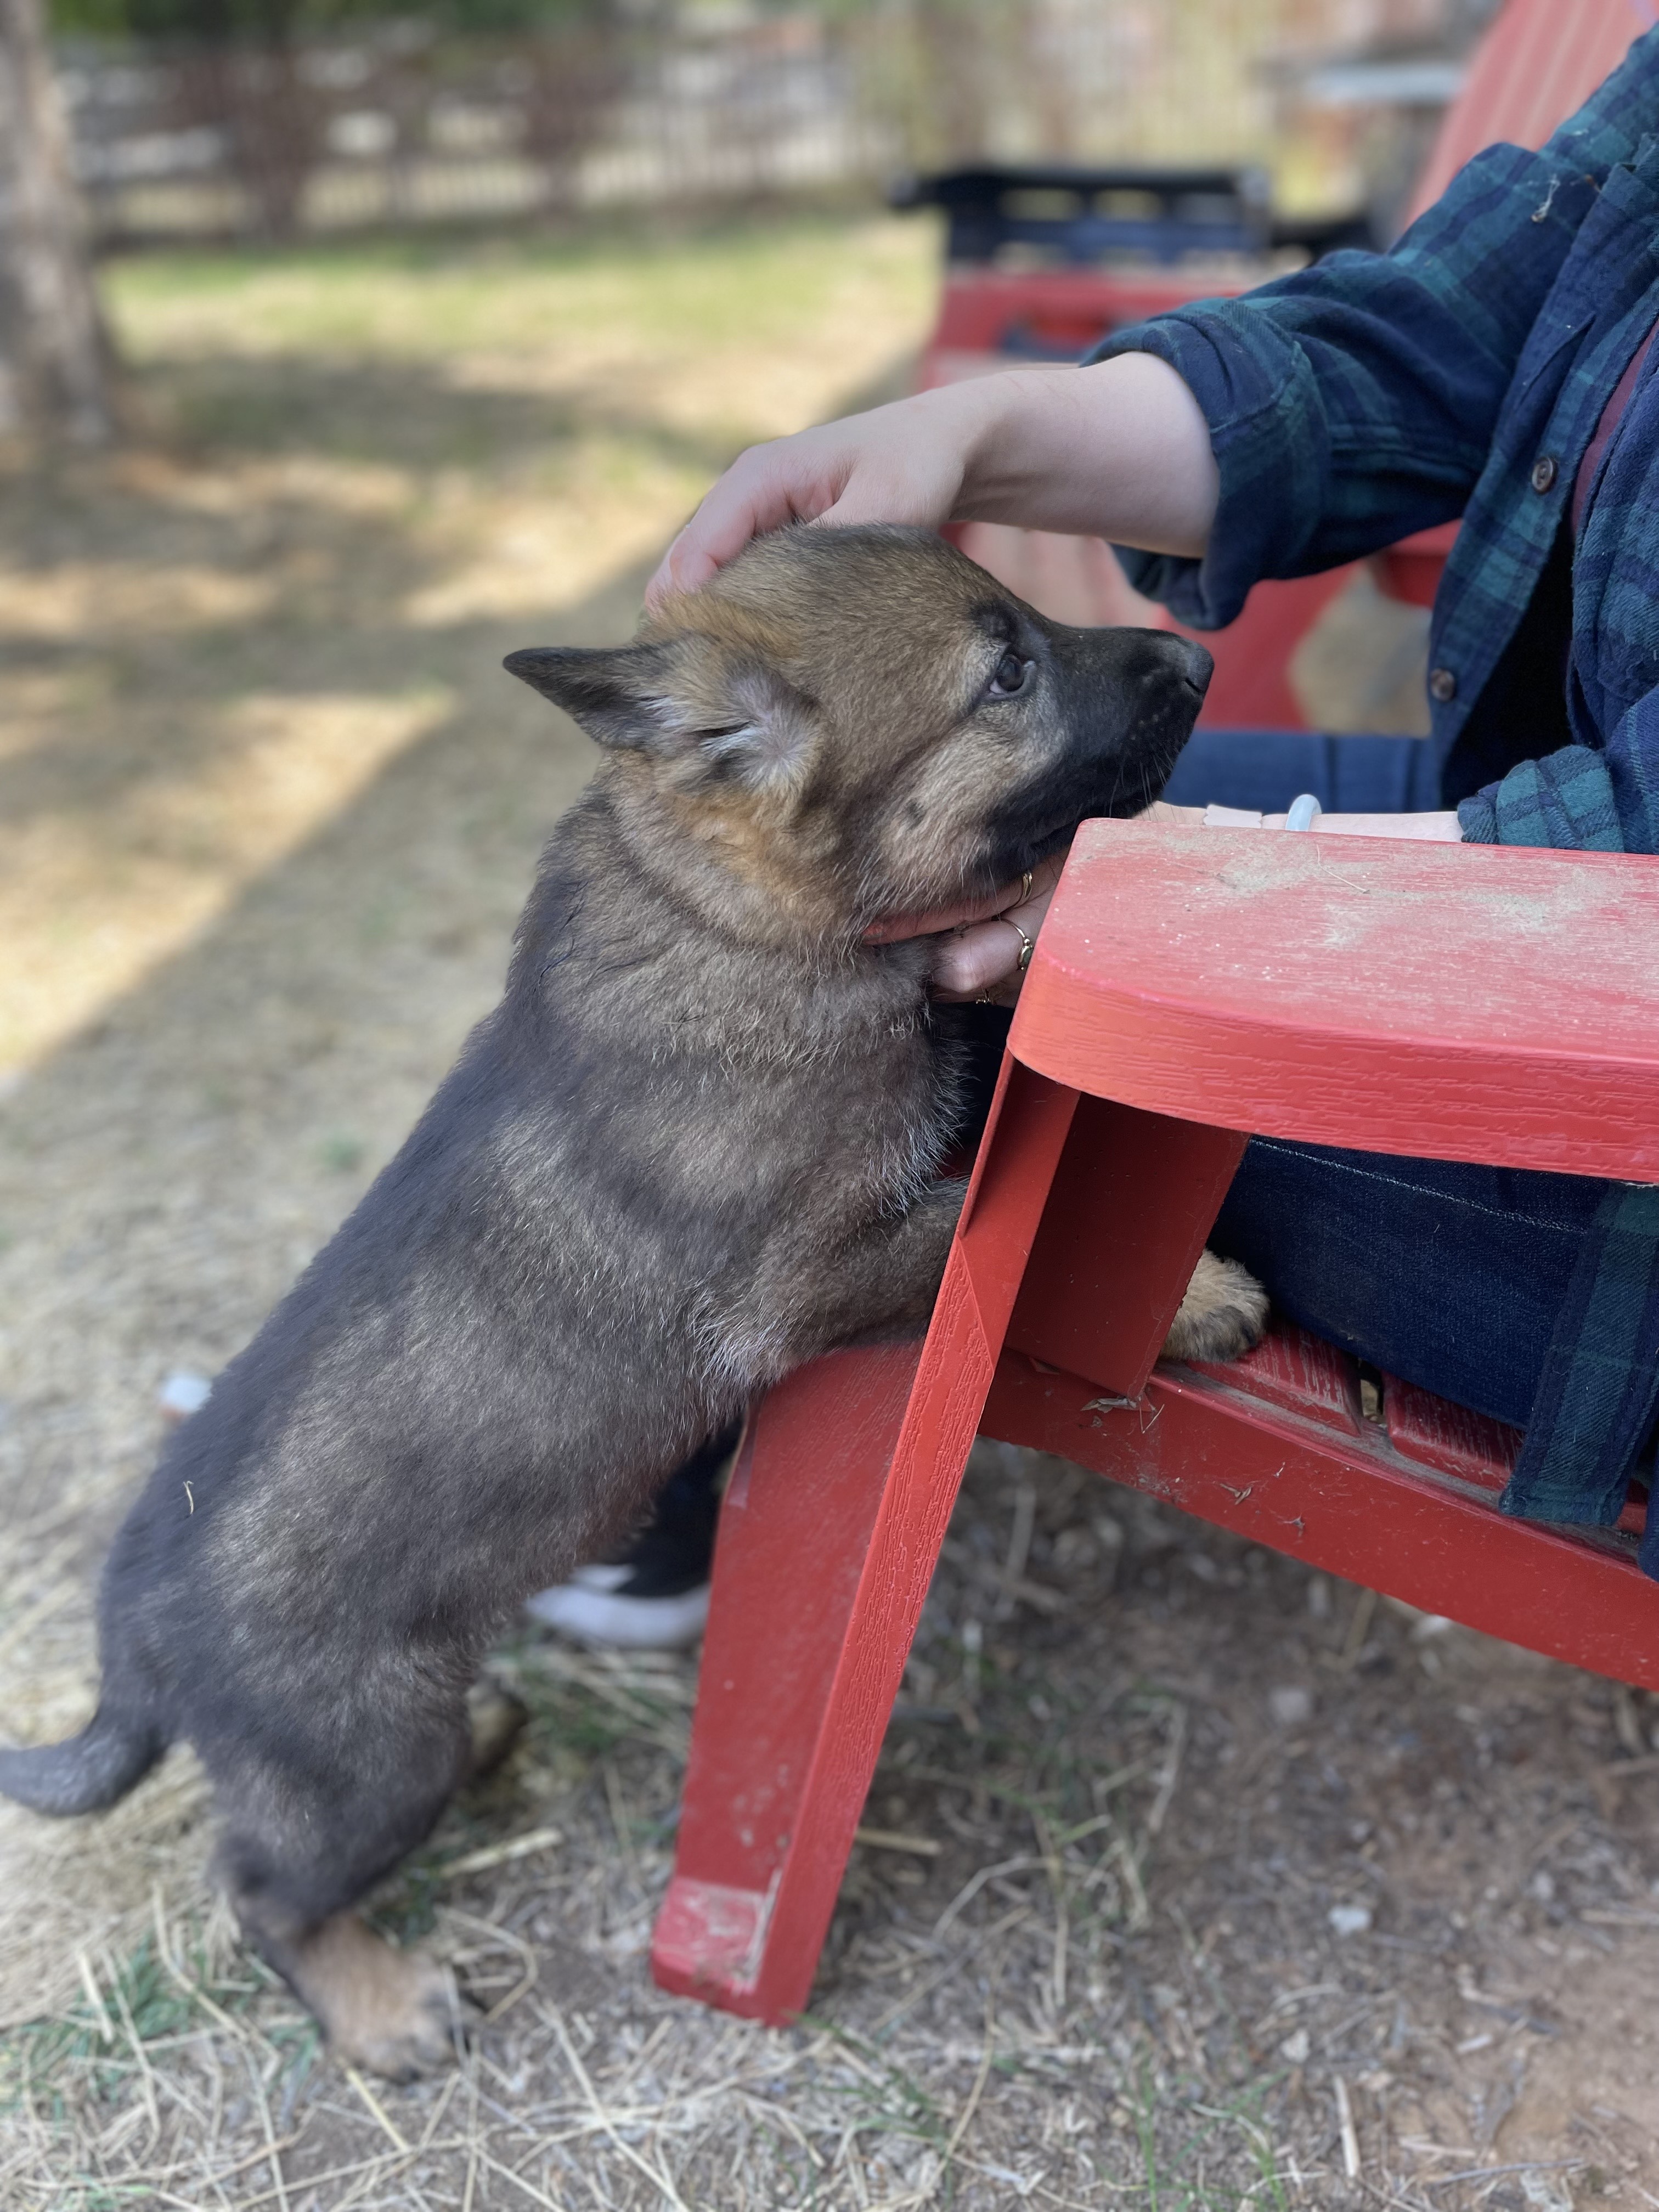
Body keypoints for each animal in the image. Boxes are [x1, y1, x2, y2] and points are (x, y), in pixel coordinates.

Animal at [0, 525, 1265, 2077]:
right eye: (1006, 675)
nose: (1200, 656)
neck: (721, 911)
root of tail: (132, 1637)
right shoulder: (808, 1280)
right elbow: (995, 1252)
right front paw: (1194, 1294)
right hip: (366, 1763)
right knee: (257, 1889)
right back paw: (377, 2001)